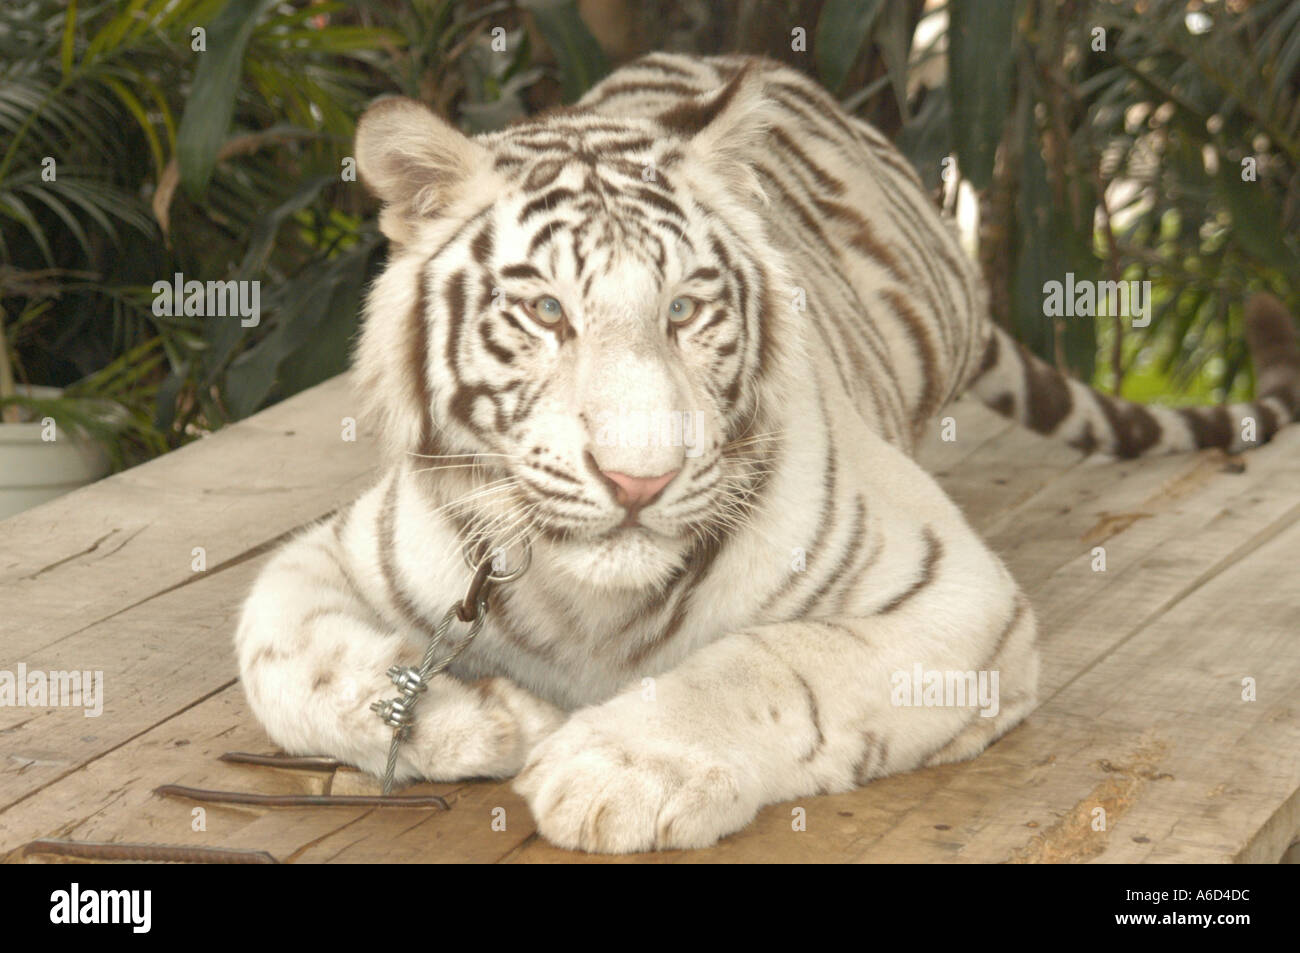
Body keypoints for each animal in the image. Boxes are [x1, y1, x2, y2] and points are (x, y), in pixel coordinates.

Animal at [234, 52, 1300, 853]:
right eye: (545, 310)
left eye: (684, 309)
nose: (640, 480)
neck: (587, 604)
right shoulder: (335, 550)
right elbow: (280, 660)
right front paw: (486, 716)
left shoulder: (955, 593)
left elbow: (772, 661)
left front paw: (613, 767)